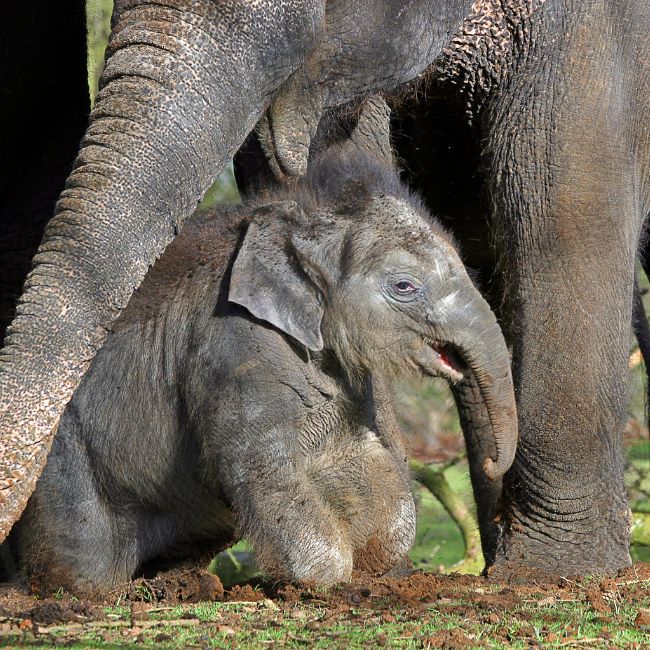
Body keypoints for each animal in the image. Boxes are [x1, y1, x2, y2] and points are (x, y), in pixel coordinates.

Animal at [16, 140, 516, 592]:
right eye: (405, 286)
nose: (491, 465)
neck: (292, 220)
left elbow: (363, 460)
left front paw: (377, 565)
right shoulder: (235, 348)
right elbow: (263, 467)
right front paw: (323, 581)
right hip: (64, 462)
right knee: (86, 559)